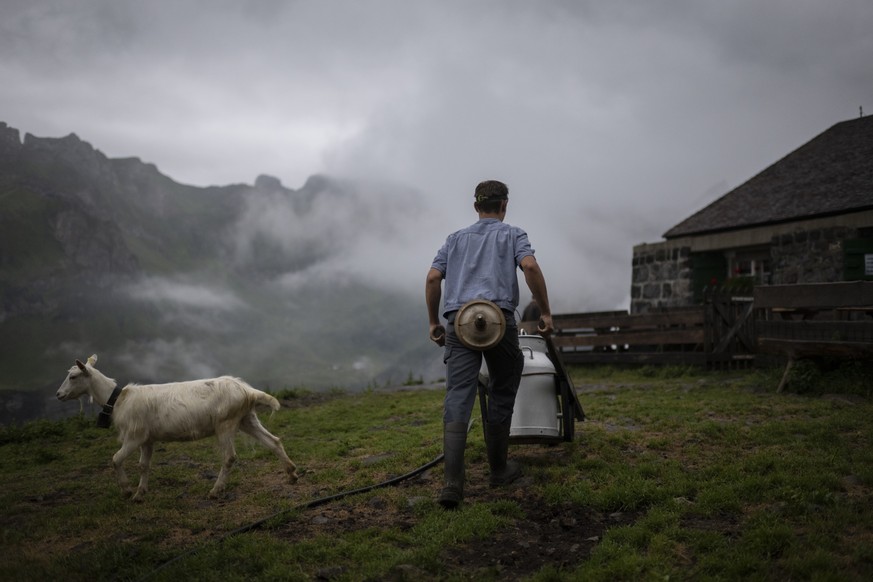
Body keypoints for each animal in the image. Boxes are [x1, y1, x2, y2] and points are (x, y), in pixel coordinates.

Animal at [56, 356, 300, 502]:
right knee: (273, 441)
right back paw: (291, 474)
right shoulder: (147, 439)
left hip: (225, 423)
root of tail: (247, 391)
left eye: (73, 376)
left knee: (229, 457)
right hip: (246, 419)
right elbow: (144, 465)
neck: (117, 400)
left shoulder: (134, 436)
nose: (58, 395)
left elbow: (116, 459)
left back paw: (216, 490)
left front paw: (126, 490)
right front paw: (140, 493)